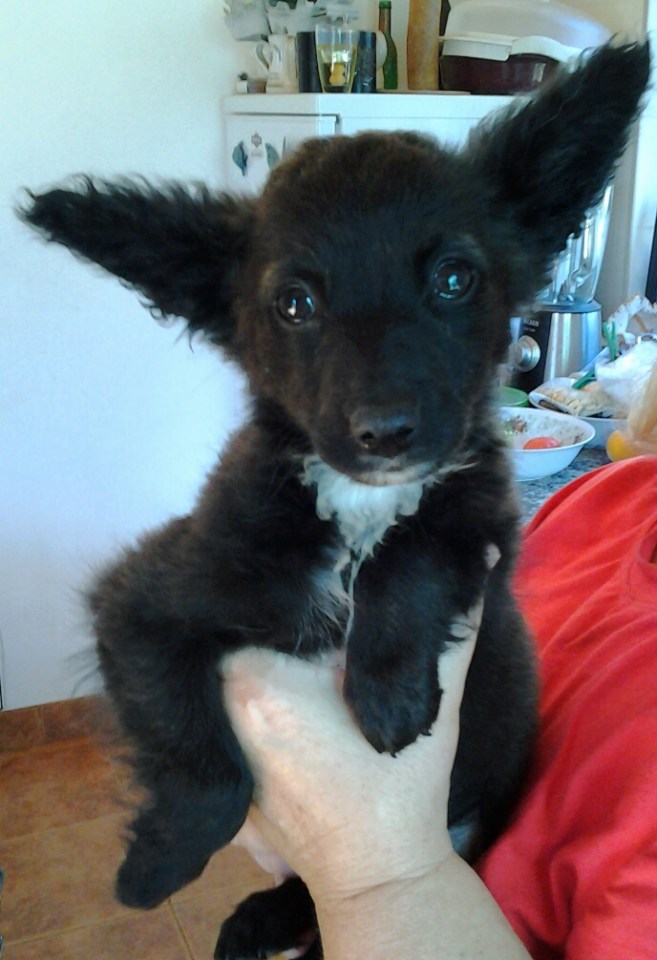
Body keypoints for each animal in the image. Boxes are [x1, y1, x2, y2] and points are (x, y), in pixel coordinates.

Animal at [21, 40, 650, 960]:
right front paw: (156, 866)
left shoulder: (485, 525)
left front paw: (387, 687)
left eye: (454, 278)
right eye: (295, 304)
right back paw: (253, 918)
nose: (384, 433)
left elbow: (419, 546)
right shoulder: (142, 601)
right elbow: (202, 768)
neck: (354, 504)